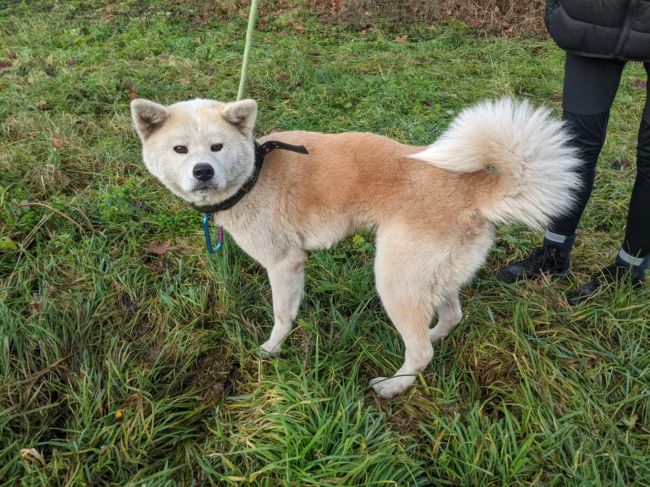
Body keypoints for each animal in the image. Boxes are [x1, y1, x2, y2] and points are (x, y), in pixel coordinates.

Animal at [131, 97, 580, 398]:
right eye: (180, 149)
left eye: (217, 147)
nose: (203, 172)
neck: (254, 174)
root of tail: (473, 187)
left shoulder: (284, 263)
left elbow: (282, 316)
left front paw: (272, 350)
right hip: (432, 277)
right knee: (449, 317)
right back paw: (433, 335)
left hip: (394, 279)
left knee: (420, 352)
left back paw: (395, 386)